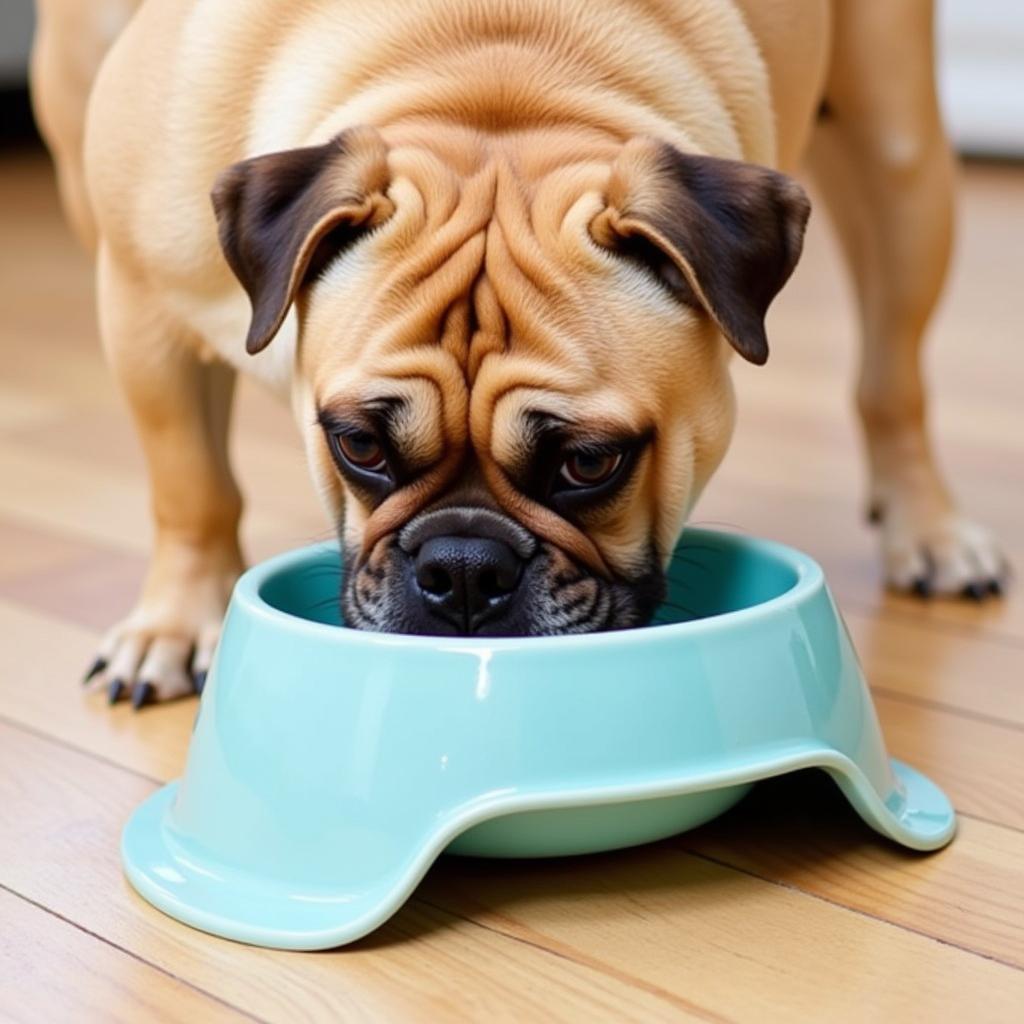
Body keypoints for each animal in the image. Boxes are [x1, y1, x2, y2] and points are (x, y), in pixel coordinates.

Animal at [34, 0, 1007, 704]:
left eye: (589, 464)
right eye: (359, 446)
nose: (463, 569)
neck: (491, 83)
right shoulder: (143, 302)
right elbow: (189, 482)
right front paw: (176, 625)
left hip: (900, 156)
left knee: (892, 376)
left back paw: (928, 530)